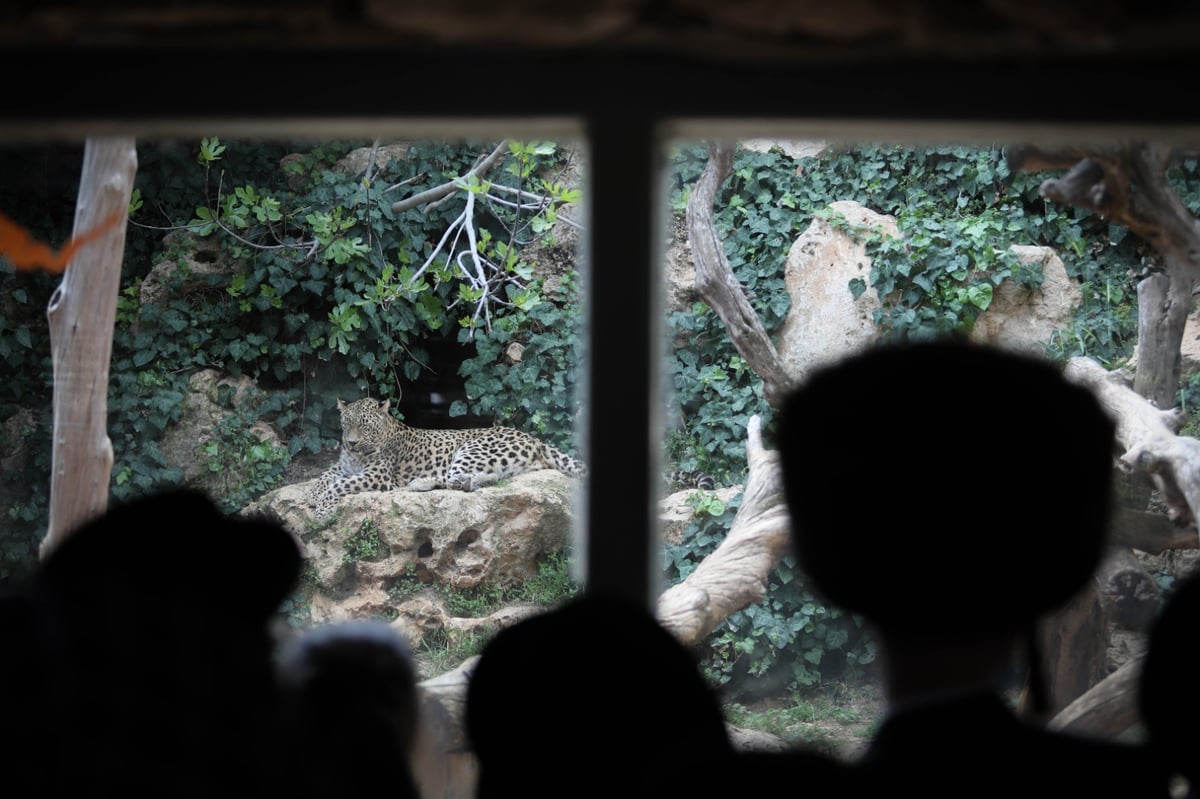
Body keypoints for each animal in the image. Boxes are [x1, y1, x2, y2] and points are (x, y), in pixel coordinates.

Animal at [307, 393, 588, 515]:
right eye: (347, 423)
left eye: (365, 426)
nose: (351, 442)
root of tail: (533, 438)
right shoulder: (343, 466)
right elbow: (325, 475)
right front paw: (311, 494)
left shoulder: (377, 476)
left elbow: (339, 485)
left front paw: (322, 509)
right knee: (476, 480)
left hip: (471, 448)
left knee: (464, 479)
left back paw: (419, 483)